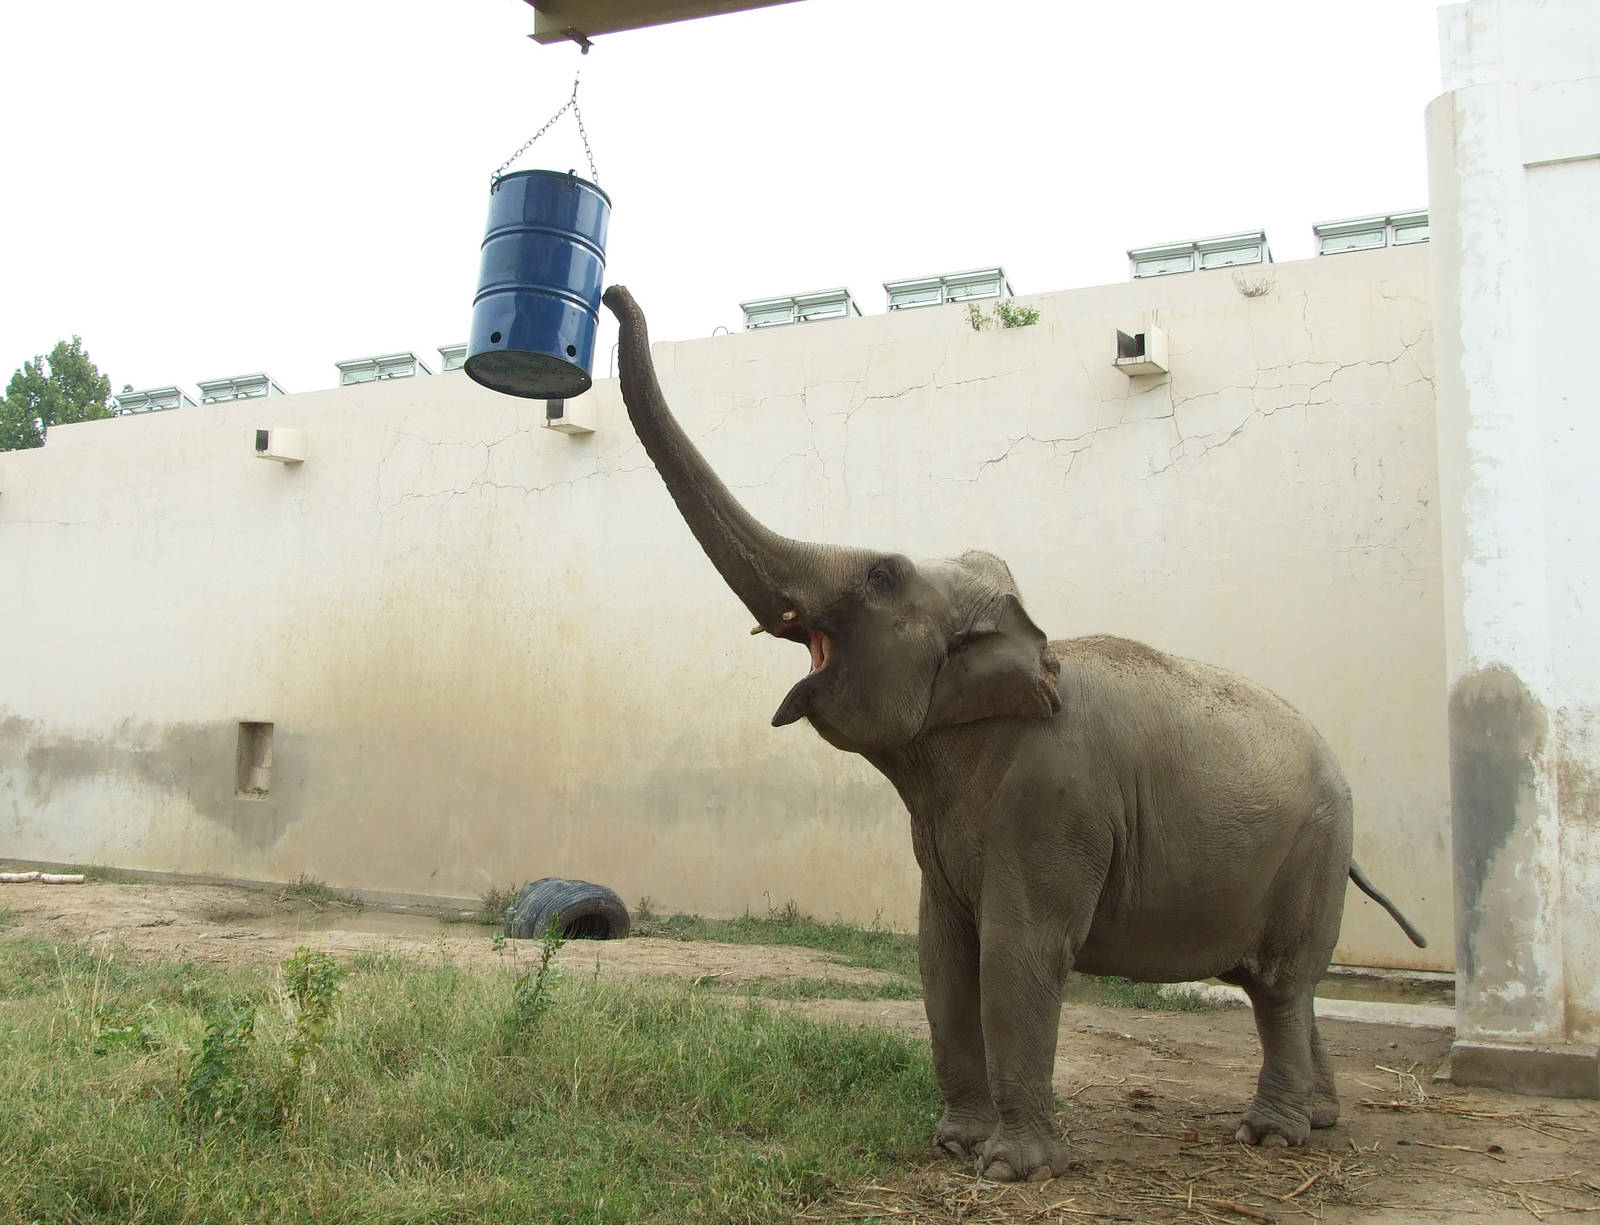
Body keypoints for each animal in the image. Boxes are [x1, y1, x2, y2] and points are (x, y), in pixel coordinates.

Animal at [601, 286, 1426, 1182]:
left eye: (882, 576)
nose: (611, 294)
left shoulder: (1056, 804)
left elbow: (1015, 951)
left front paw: (1010, 1168)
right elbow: (941, 954)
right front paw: (954, 1143)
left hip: (1313, 849)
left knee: (1280, 981)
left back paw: (1271, 1134)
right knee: (1290, 989)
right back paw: (1319, 1118)